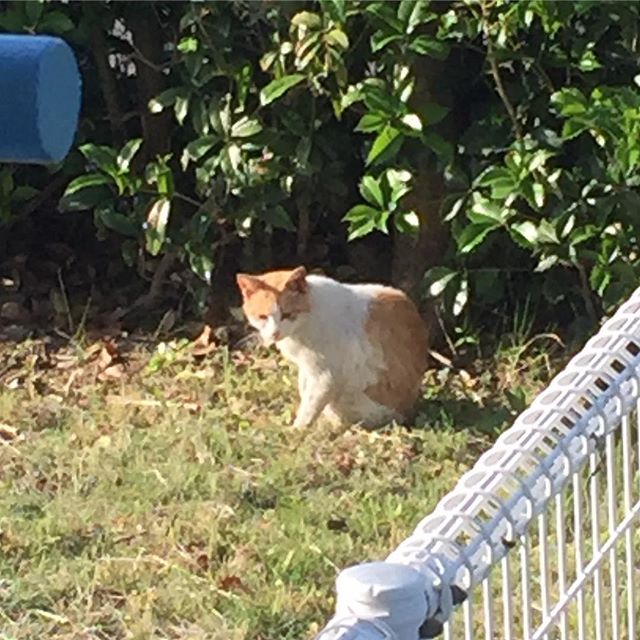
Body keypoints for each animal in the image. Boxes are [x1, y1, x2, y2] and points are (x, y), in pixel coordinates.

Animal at [236, 264, 430, 430]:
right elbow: (304, 391)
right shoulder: (306, 369)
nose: (275, 333)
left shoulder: (326, 377)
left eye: (287, 314)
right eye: (262, 317)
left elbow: (309, 407)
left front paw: (296, 432)